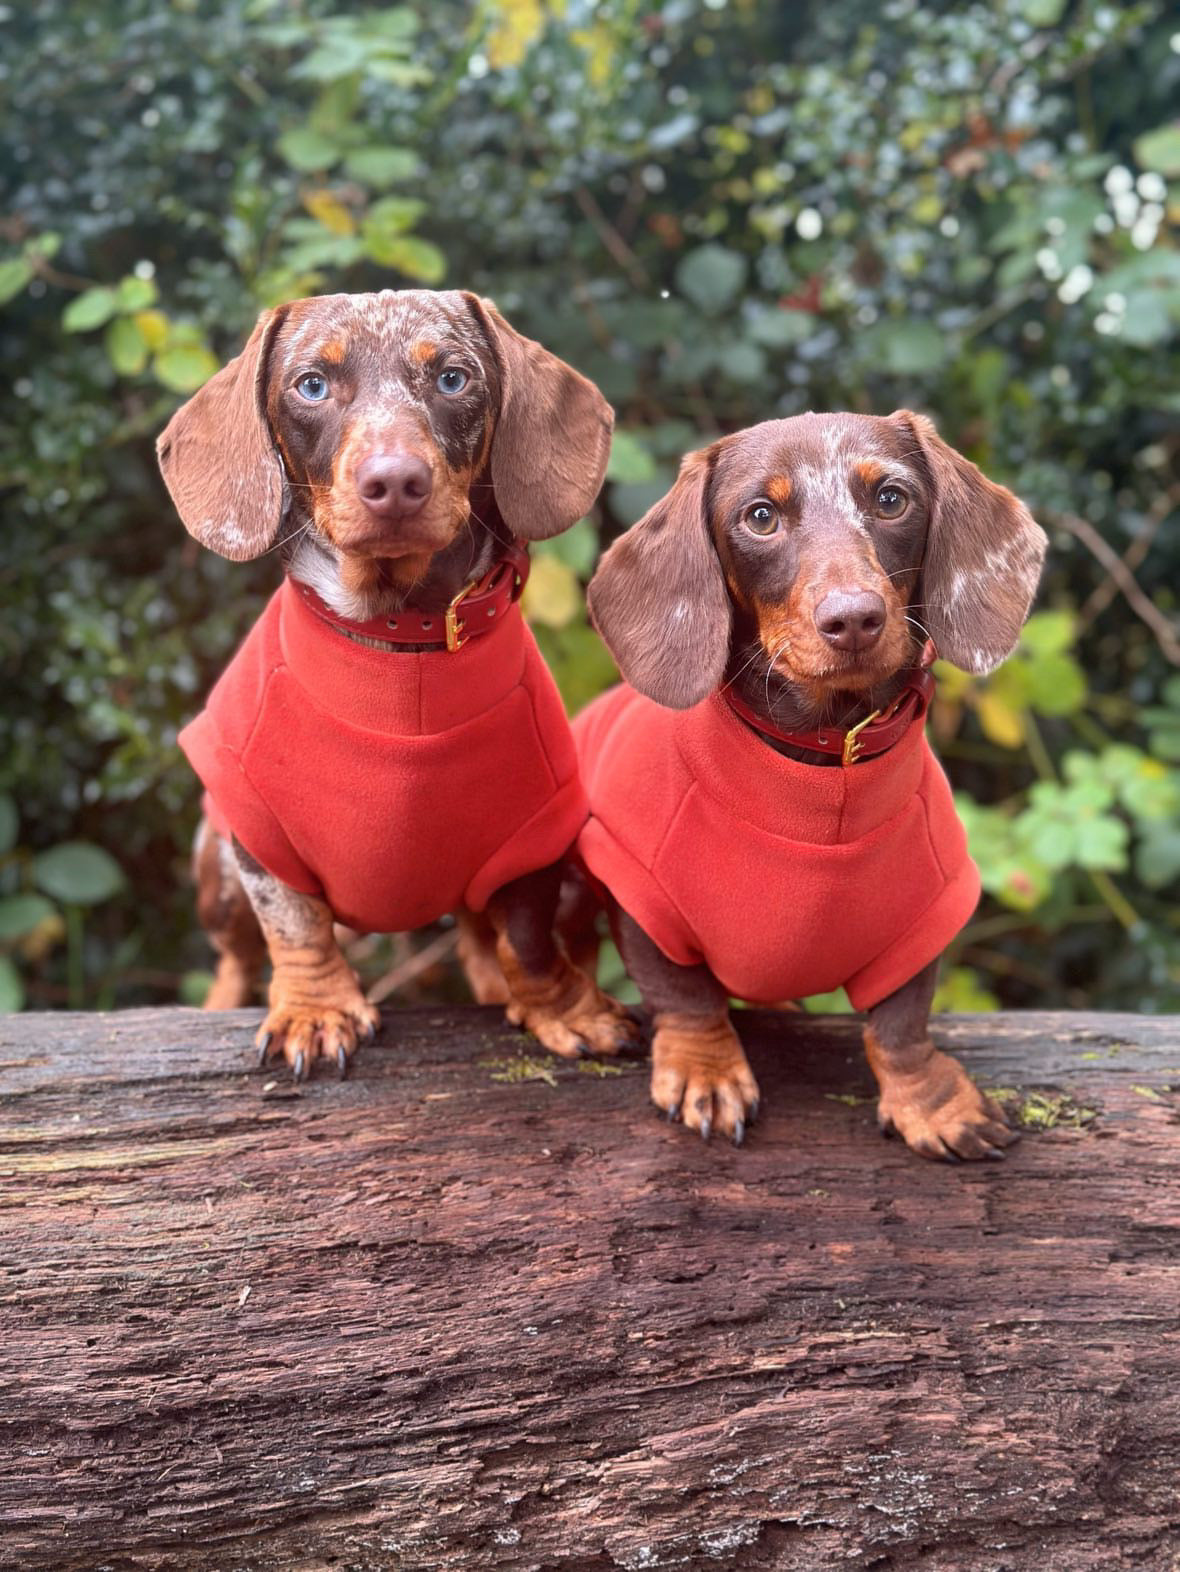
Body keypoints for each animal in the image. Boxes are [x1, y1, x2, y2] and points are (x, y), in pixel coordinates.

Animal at [159, 289, 637, 1075]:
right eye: (311, 385)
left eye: (452, 378)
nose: (393, 484)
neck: (400, 643)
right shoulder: (257, 832)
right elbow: (293, 923)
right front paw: (316, 1011)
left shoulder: (532, 840)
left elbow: (527, 940)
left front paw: (565, 1010)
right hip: (214, 867)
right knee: (236, 957)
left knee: (480, 941)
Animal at [578, 411, 1049, 1163]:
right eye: (760, 516)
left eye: (891, 499)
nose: (853, 618)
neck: (824, 773)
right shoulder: (636, 894)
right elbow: (684, 995)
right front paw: (707, 1072)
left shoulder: (924, 915)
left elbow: (902, 1023)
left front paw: (933, 1103)